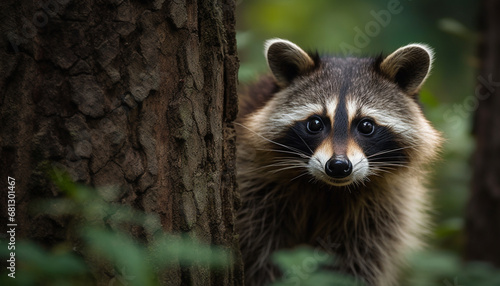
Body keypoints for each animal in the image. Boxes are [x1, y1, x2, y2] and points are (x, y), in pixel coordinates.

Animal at [234, 39, 442, 286]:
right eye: (315, 123)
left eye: (366, 126)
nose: (338, 166)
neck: (328, 189)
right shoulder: (255, 186)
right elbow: (261, 254)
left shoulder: (384, 208)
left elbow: (358, 262)